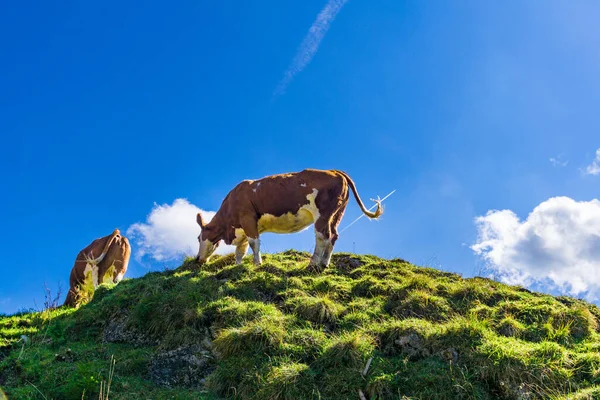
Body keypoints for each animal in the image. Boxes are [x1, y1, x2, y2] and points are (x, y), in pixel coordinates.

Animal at [197, 169, 384, 272]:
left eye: (198, 238)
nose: (197, 259)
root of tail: (334, 170)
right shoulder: (242, 227)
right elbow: (240, 250)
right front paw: (237, 265)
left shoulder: (248, 218)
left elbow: (253, 244)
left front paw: (257, 264)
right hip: (337, 214)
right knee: (334, 236)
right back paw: (324, 263)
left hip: (322, 214)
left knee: (323, 236)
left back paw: (313, 264)